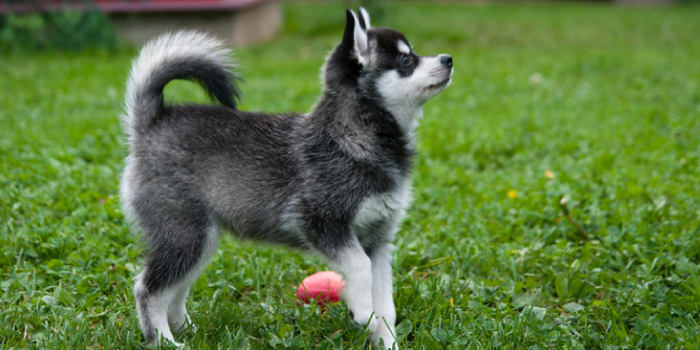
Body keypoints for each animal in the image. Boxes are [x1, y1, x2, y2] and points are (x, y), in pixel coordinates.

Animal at [120, 6, 454, 348]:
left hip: (199, 239)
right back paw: (164, 339)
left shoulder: (379, 240)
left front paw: (386, 339)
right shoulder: (317, 220)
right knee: (149, 289)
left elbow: (386, 306)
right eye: (405, 61)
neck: (352, 137)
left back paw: (185, 329)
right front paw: (363, 312)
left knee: (174, 288)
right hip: (186, 234)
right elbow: (359, 266)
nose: (448, 59)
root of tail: (153, 121)